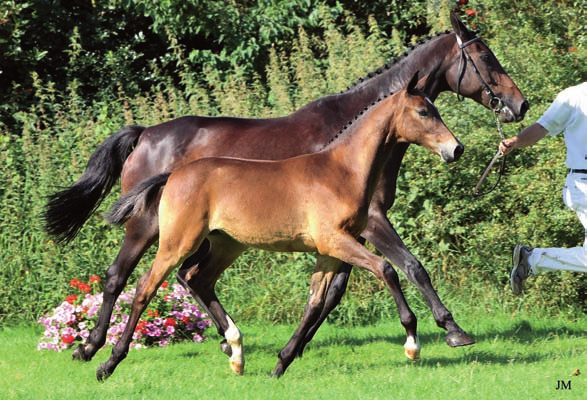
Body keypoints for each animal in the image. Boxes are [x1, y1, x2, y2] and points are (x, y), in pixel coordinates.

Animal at [97, 73, 464, 382]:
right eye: (423, 112)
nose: (455, 148)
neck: (341, 170)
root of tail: (172, 175)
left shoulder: (329, 251)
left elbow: (315, 301)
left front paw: (281, 363)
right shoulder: (336, 240)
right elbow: (387, 269)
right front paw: (414, 342)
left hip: (226, 244)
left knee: (197, 279)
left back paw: (236, 352)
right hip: (177, 242)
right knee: (143, 287)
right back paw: (106, 361)